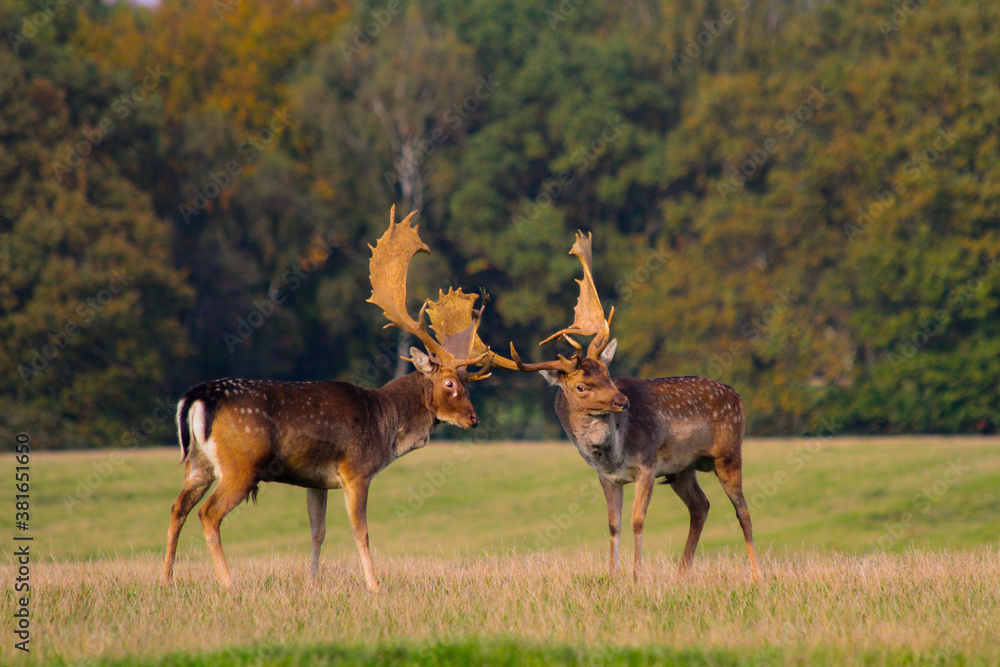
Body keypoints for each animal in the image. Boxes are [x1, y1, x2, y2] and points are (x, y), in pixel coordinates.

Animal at [162, 207, 494, 592]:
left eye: (467, 381)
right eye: (450, 383)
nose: (473, 418)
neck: (384, 427)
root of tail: (197, 397)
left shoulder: (315, 480)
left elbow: (317, 532)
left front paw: (312, 582)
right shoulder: (356, 470)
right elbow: (360, 532)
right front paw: (374, 586)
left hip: (198, 462)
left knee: (178, 508)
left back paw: (166, 579)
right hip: (241, 463)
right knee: (208, 513)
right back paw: (229, 583)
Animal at [485, 232, 761, 580]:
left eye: (607, 373)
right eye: (581, 386)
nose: (622, 401)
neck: (614, 453)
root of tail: (737, 396)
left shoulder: (647, 465)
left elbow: (637, 522)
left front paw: (636, 574)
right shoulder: (607, 477)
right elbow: (614, 525)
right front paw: (613, 574)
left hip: (728, 453)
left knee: (743, 511)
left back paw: (757, 574)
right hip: (683, 469)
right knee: (701, 506)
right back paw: (682, 572)